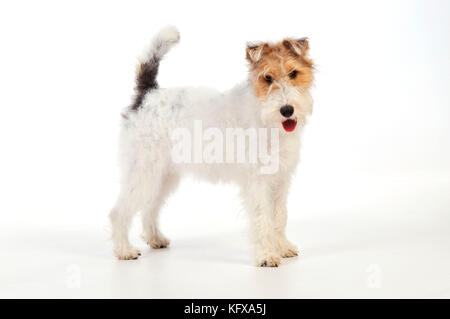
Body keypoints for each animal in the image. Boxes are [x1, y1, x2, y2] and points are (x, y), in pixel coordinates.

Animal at [109, 25, 314, 268]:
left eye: (293, 73)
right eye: (267, 77)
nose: (287, 110)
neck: (264, 116)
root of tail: (147, 94)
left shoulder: (281, 180)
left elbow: (279, 216)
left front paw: (282, 248)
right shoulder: (258, 183)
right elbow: (263, 218)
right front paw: (267, 255)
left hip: (163, 176)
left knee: (149, 208)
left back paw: (156, 239)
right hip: (143, 172)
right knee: (119, 212)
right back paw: (124, 250)